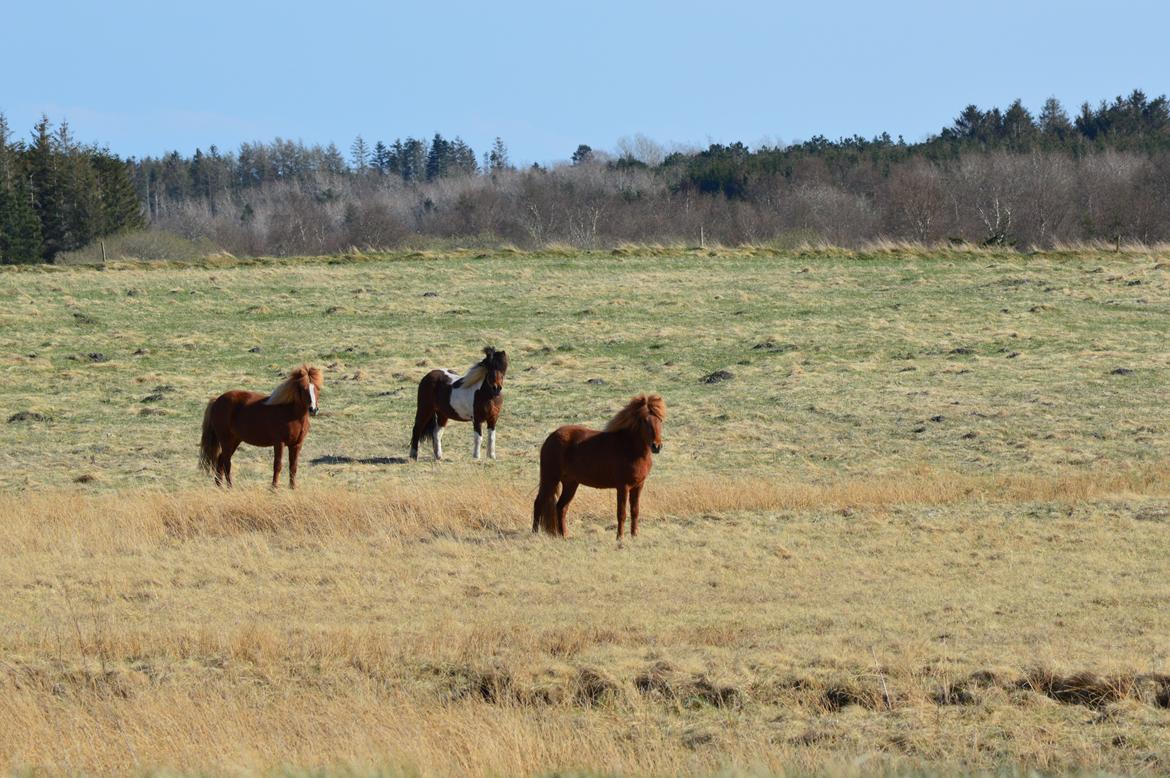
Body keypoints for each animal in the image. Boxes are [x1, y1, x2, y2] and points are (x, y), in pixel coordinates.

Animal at [533, 395, 664, 540]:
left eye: (660, 420)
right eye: (644, 421)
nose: (656, 446)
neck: (630, 448)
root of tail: (551, 437)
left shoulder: (638, 486)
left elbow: (635, 511)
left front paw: (634, 536)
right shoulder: (623, 487)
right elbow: (621, 513)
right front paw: (620, 538)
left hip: (570, 483)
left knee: (561, 507)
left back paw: (564, 535)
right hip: (550, 479)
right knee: (539, 503)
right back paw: (535, 534)